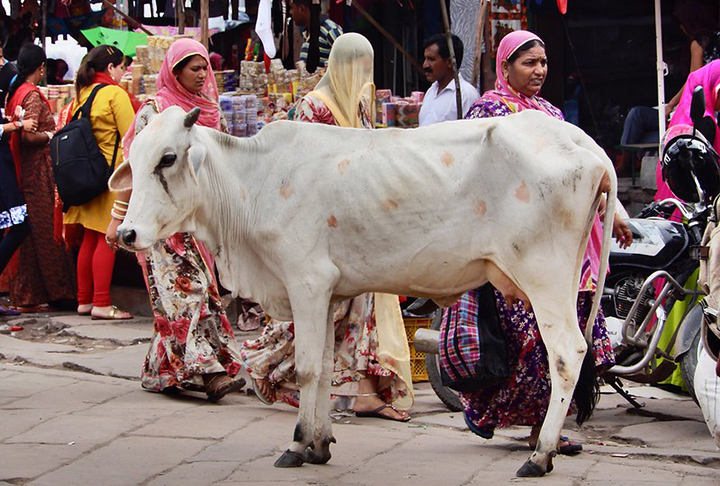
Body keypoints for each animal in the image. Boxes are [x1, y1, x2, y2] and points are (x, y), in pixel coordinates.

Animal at [111, 105, 612, 474]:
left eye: (168, 158)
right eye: (134, 160)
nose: (127, 234)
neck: (252, 184)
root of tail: (581, 141)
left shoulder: (306, 282)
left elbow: (307, 369)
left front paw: (297, 445)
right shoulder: (327, 294)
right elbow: (324, 367)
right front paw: (319, 443)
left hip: (543, 277)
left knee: (566, 353)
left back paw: (540, 454)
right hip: (561, 280)